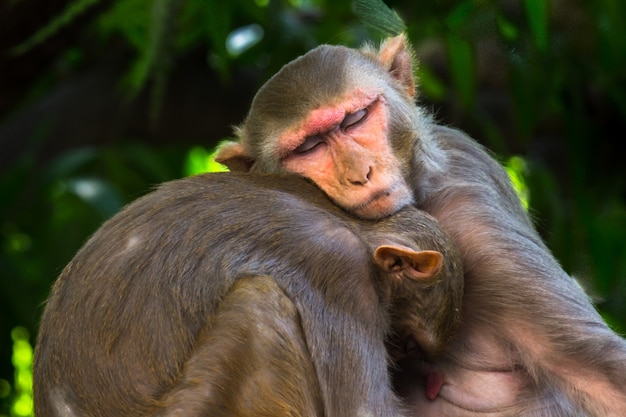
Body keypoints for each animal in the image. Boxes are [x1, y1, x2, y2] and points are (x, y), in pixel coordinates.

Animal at [34, 171, 464, 414]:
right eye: (406, 344)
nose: (395, 355)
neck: (357, 228)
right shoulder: (341, 271)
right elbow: (363, 410)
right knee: (258, 302)